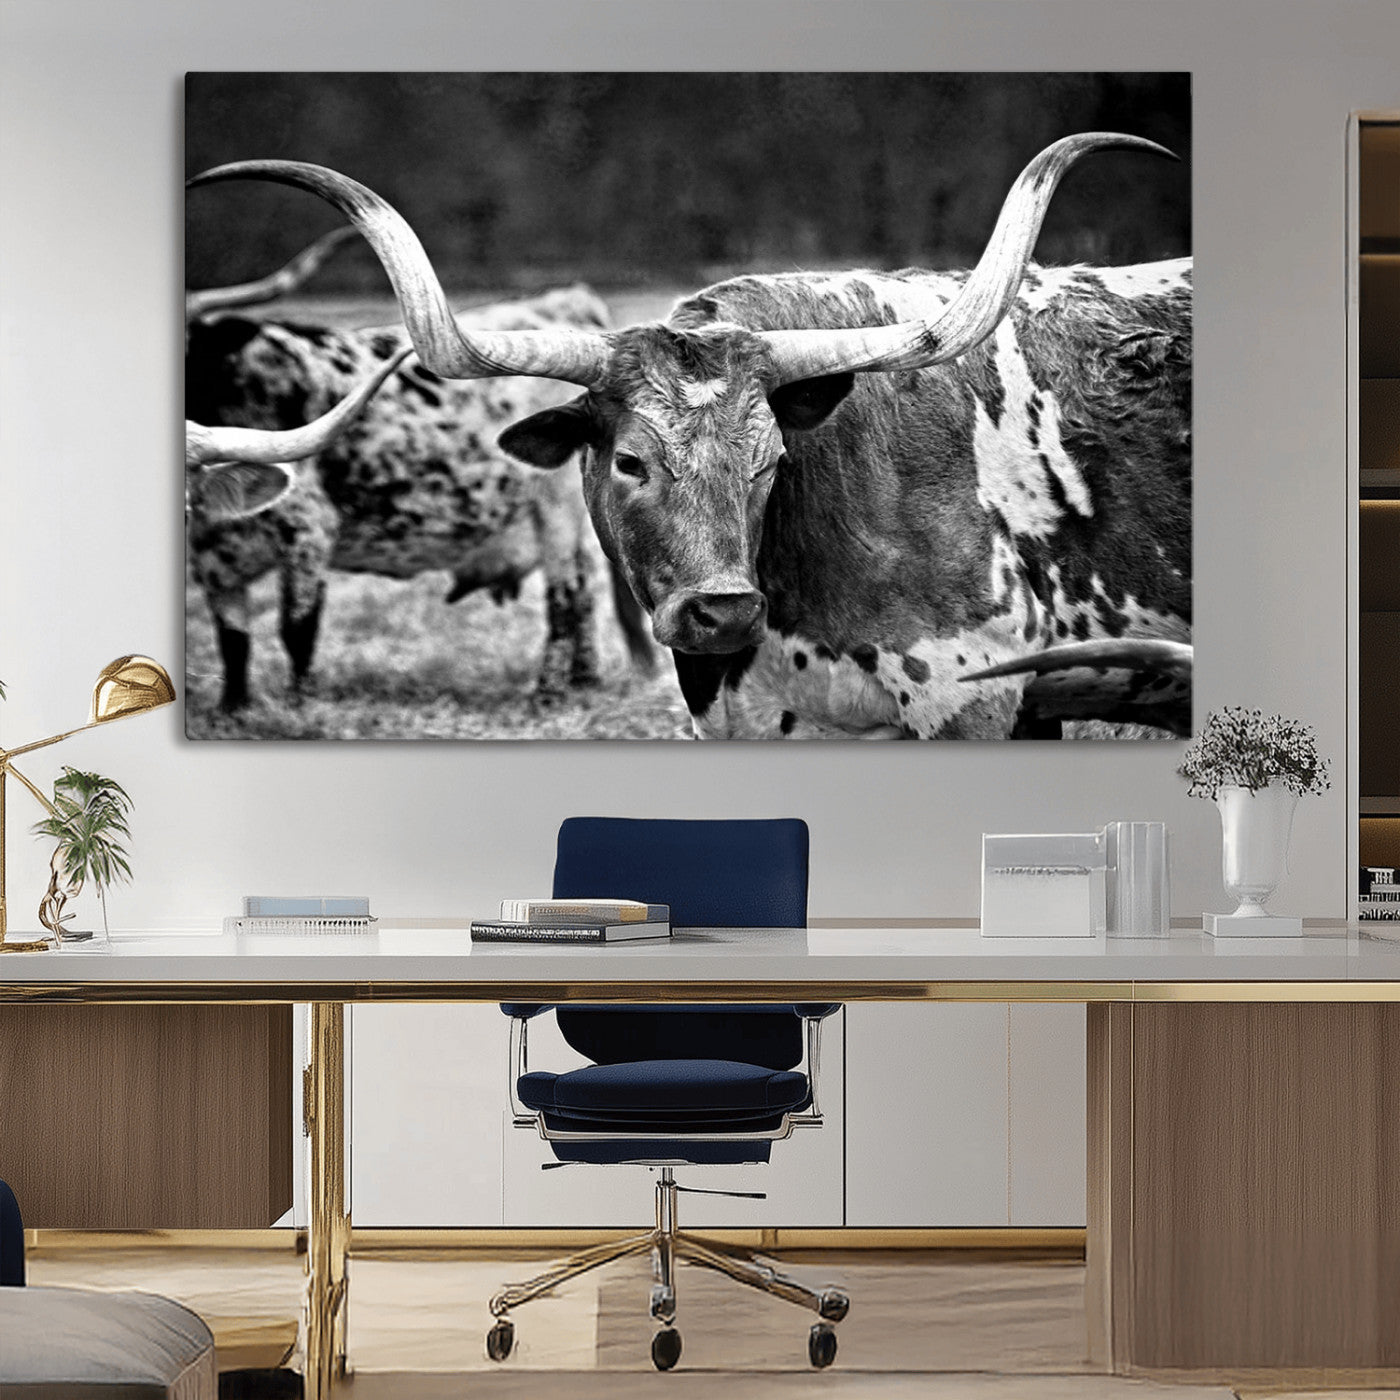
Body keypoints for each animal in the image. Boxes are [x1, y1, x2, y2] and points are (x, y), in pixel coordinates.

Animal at [185, 281, 655, 713]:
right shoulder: (215, 566)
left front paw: (301, 706)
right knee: (586, 589)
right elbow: (234, 642)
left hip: (555, 511)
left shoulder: (307, 531)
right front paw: (233, 709)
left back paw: (549, 692)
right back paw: (585, 679)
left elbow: (296, 629)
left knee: (565, 594)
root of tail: (563, 300)